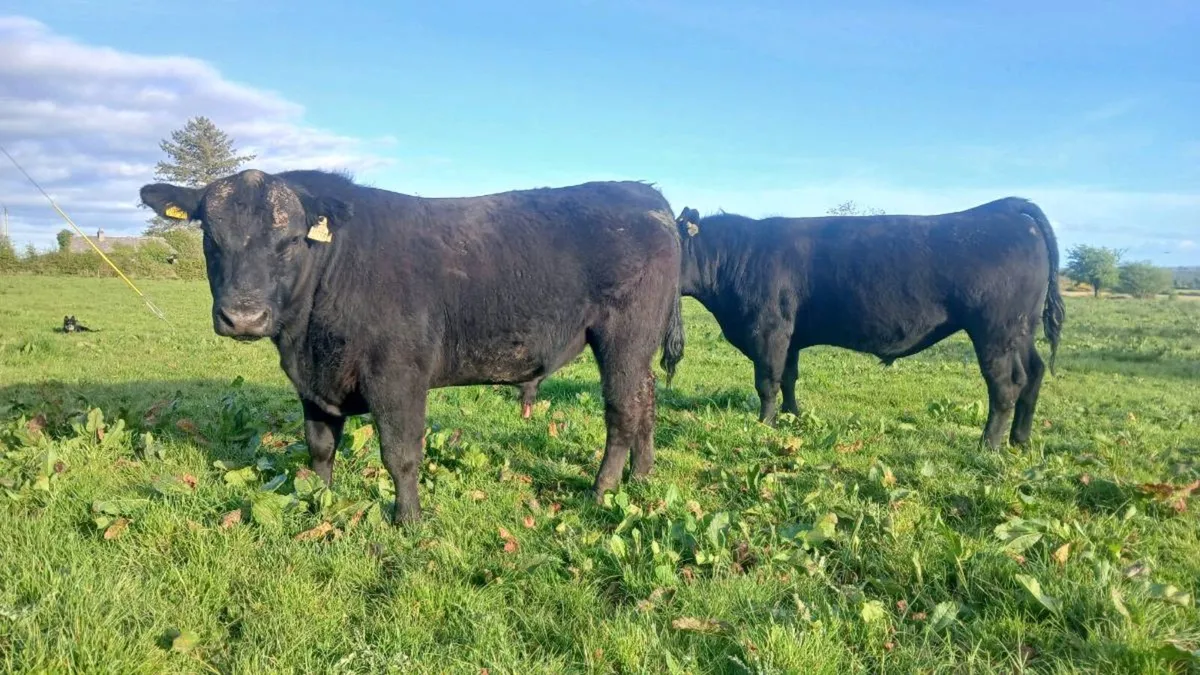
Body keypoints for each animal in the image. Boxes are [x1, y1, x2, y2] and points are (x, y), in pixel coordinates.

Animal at [139, 168, 685, 524]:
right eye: (211, 236)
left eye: (291, 240)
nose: (243, 316)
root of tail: (645, 194)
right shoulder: (312, 384)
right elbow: (319, 447)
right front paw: (318, 501)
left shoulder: (398, 376)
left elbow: (400, 453)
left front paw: (408, 520)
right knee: (647, 400)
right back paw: (642, 477)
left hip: (622, 339)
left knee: (623, 412)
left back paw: (602, 490)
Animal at [672, 197, 1065, 449]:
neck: (736, 258)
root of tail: (1002, 208)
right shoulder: (792, 337)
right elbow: (788, 378)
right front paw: (792, 416)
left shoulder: (769, 330)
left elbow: (767, 381)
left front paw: (764, 425)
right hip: (1021, 330)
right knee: (1034, 373)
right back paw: (1020, 440)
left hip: (995, 329)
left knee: (1006, 385)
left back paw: (989, 445)